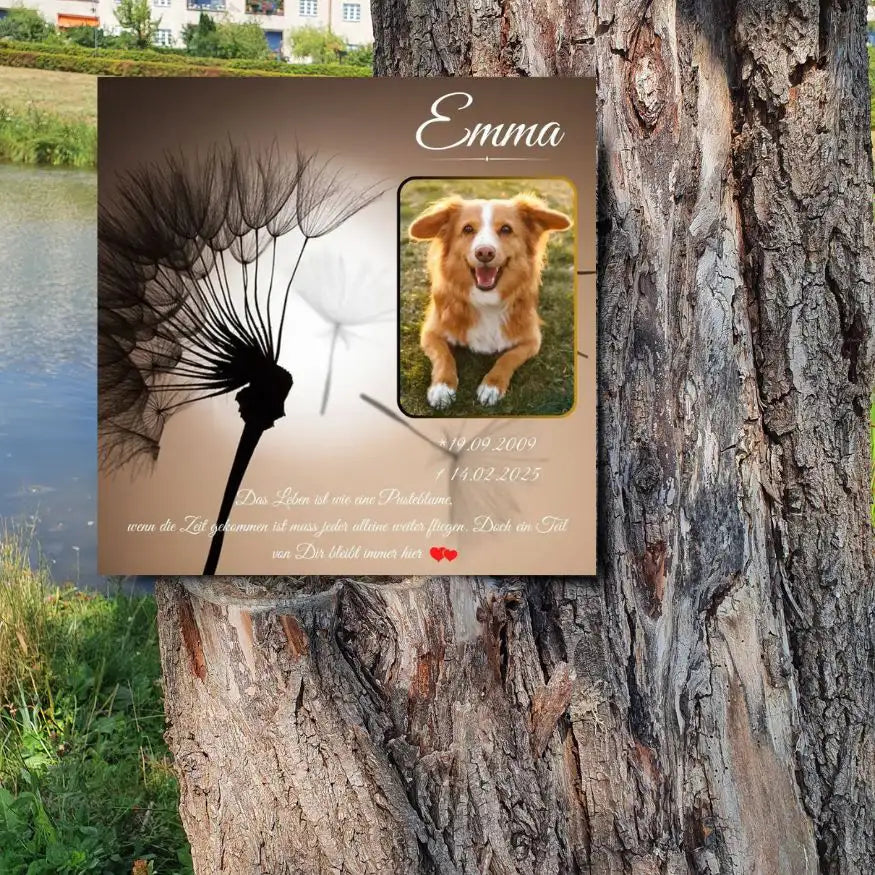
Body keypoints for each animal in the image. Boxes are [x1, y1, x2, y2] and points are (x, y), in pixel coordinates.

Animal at [410, 195, 576, 410]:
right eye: (467, 229)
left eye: (506, 229)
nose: (484, 253)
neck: (486, 301)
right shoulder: (430, 332)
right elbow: (443, 356)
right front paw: (442, 387)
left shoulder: (532, 339)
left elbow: (508, 357)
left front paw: (491, 386)